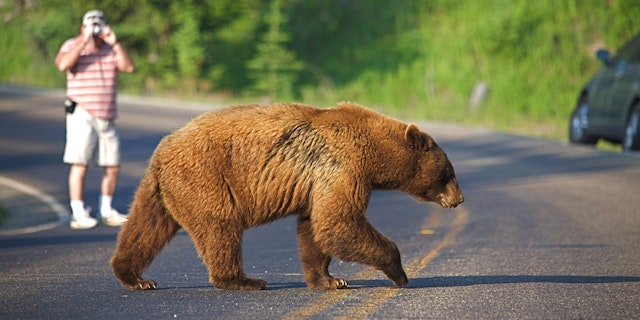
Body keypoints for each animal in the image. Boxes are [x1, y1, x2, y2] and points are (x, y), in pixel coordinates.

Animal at [109, 101, 460, 292]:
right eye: (448, 172)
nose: (460, 199)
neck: (375, 154)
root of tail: (162, 150)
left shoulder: (318, 182)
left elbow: (315, 227)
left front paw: (329, 279)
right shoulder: (342, 165)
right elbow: (338, 222)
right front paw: (399, 272)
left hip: (162, 189)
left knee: (146, 227)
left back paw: (135, 276)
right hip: (206, 179)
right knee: (220, 227)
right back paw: (243, 279)